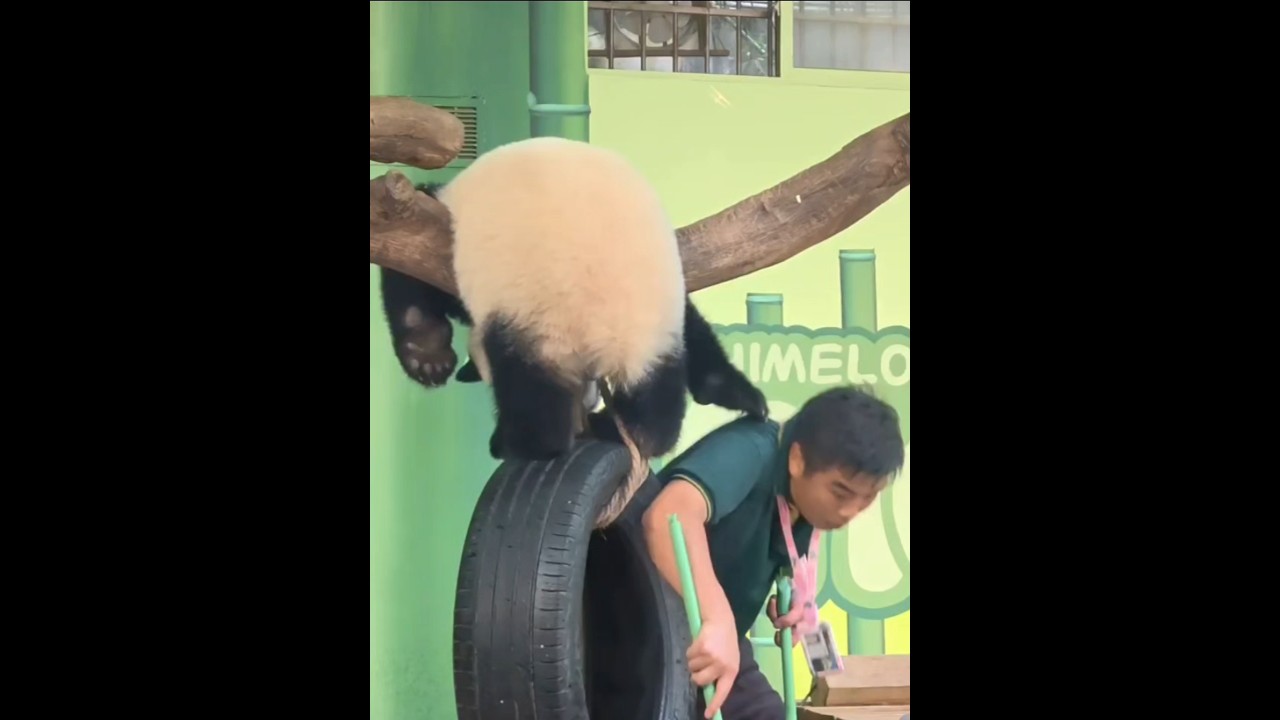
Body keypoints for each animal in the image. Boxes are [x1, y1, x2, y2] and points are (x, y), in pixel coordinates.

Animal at [378, 136, 767, 462]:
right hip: (659, 320)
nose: (589, 399)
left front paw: (426, 355)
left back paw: (514, 443)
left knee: (538, 412)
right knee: (663, 398)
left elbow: (413, 282)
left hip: (533, 325)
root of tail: (608, 329)